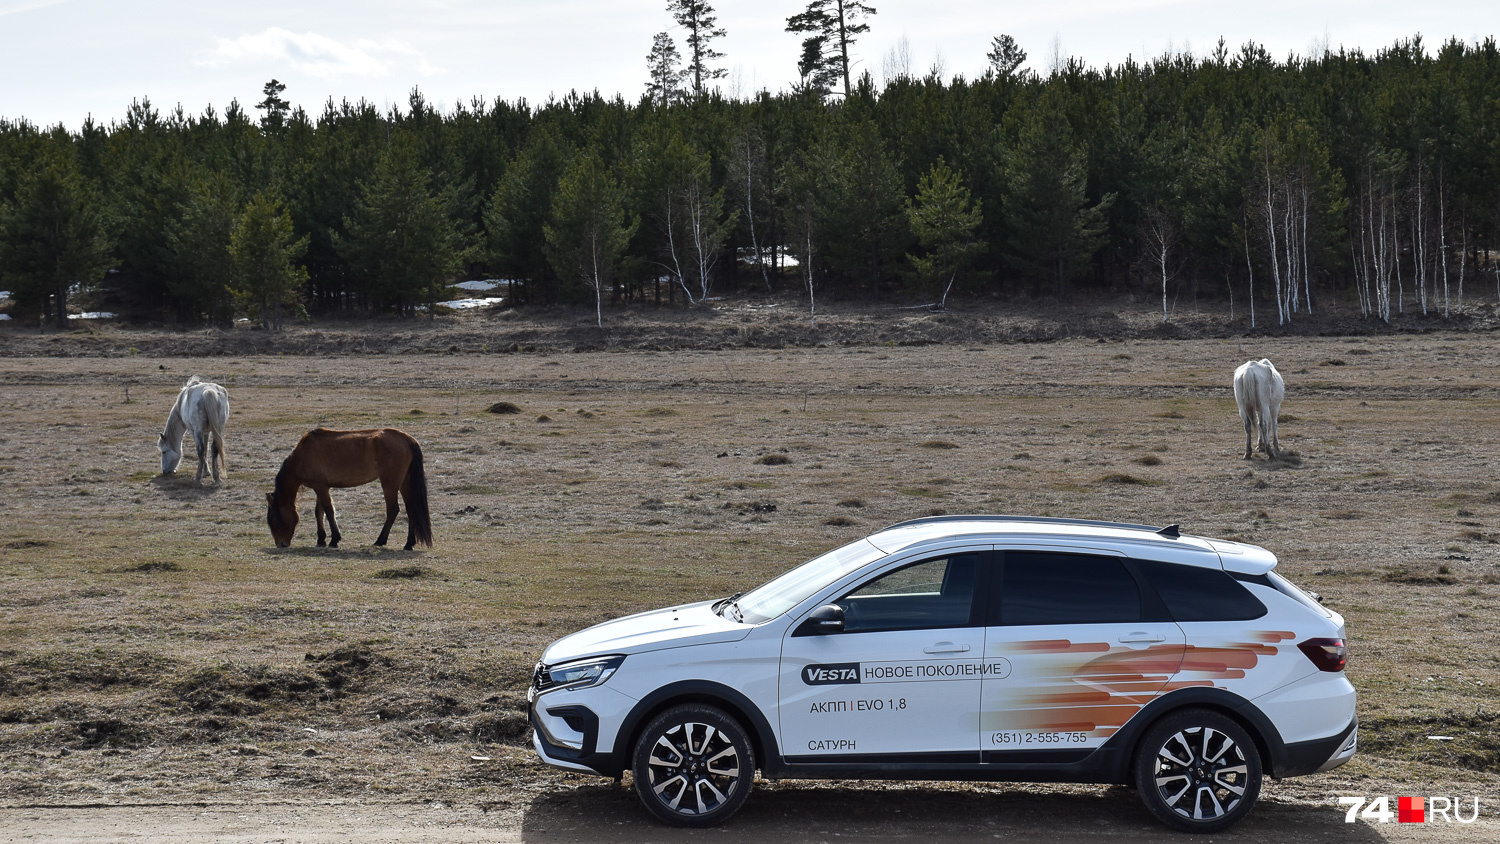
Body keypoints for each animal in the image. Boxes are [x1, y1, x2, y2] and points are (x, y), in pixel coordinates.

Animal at [268, 425, 435, 551]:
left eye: (275, 519)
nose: (281, 544)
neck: (304, 454)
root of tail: (407, 439)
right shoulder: (321, 487)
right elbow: (319, 512)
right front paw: (321, 540)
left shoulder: (320, 487)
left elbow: (329, 511)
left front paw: (334, 540)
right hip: (405, 483)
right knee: (411, 509)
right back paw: (408, 544)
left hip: (390, 484)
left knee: (393, 510)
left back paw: (380, 540)